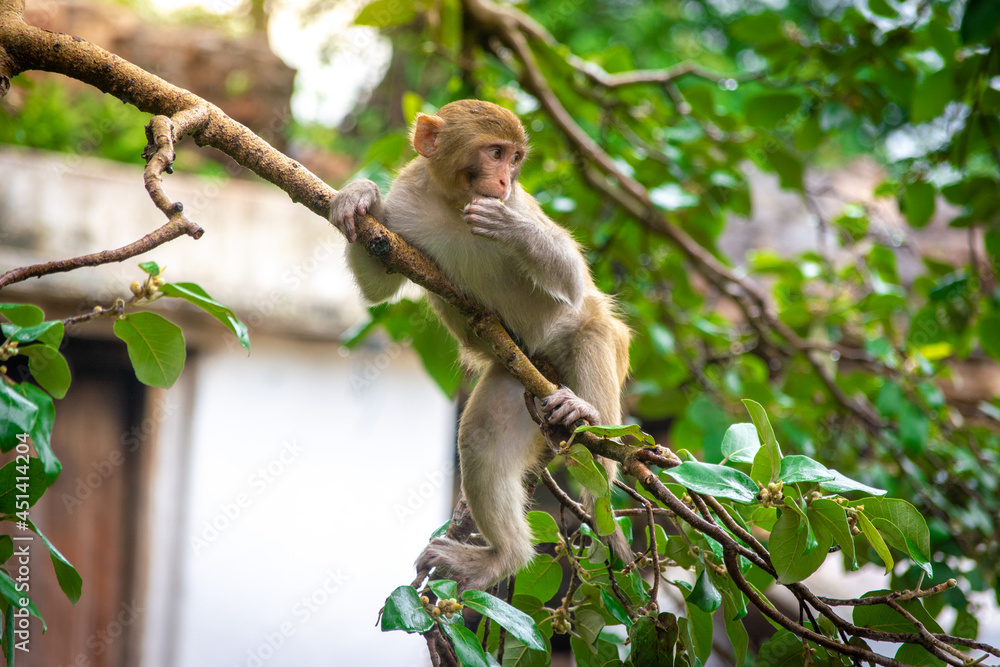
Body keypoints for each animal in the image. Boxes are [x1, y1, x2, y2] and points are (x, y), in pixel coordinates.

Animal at [330, 99, 631, 591]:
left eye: (515, 159)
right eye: (495, 153)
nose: (505, 180)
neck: (453, 203)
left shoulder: (522, 202)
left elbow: (571, 279)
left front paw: (514, 229)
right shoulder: (403, 206)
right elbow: (379, 281)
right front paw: (360, 194)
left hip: (582, 352)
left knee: (592, 334)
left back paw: (585, 416)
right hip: (517, 380)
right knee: (482, 439)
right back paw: (502, 558)